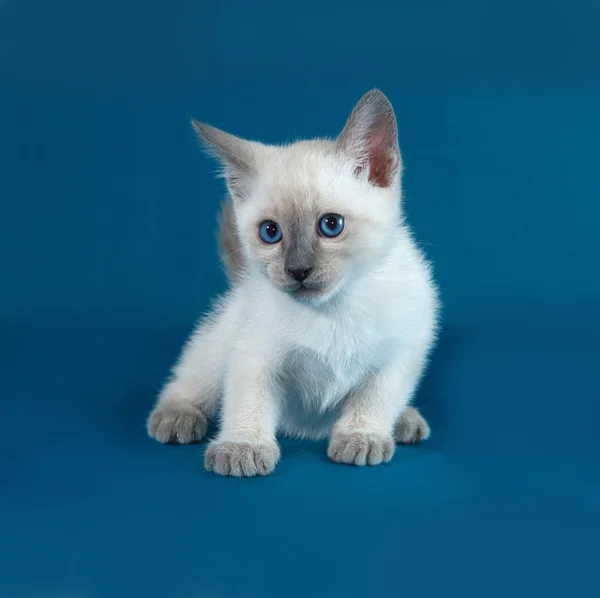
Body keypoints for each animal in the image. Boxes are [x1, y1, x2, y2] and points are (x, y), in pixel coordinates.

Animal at [148, 90, 440, 478]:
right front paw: (243, 446)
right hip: (219, 342)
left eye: (331, 225)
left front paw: (361, 436)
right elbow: (248, 401)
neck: (333, 310)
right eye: (270, 232)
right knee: (191, 380)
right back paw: (177, 417)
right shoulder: (254, 354)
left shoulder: (401, 351)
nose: (298, 270)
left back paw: (406, 421)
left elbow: (376, 397)